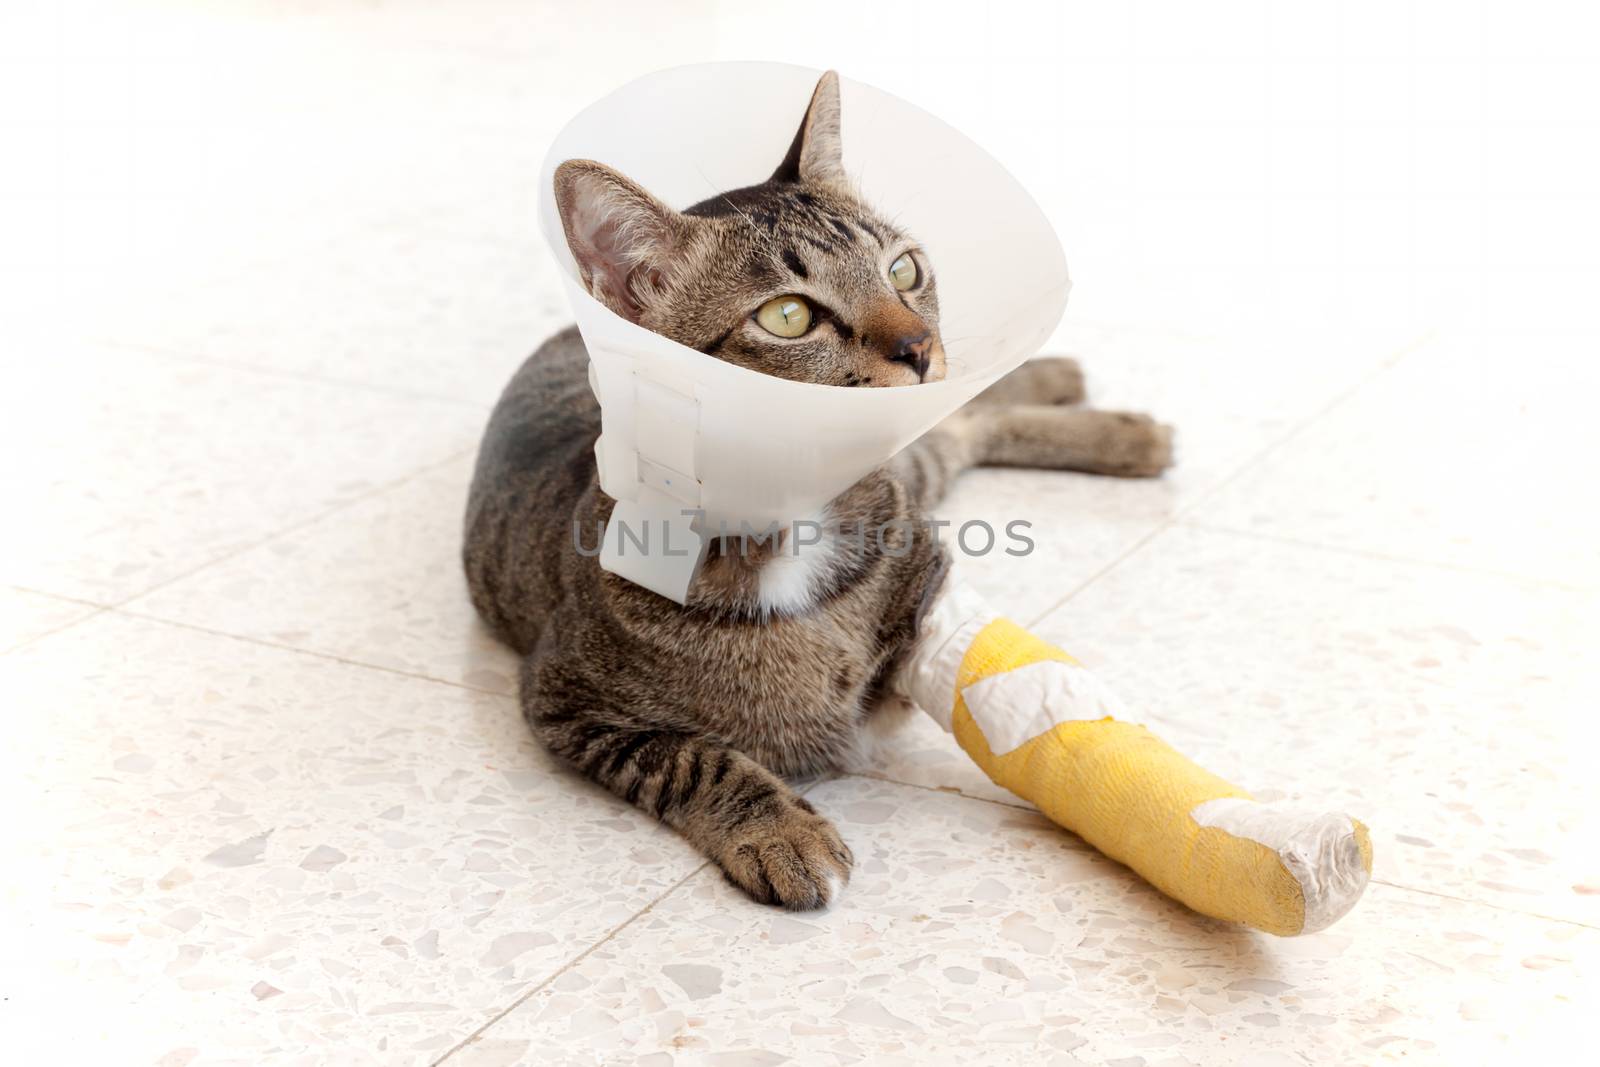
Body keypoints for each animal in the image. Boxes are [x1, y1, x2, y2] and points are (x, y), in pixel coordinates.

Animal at [464, 73, 1177, 908]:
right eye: (788, 315)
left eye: (904, 270)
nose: (921, 347)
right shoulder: (566, 698)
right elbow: (693, 758)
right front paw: (781, 831)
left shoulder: (921, 567)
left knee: (960, 426)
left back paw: (1093, 406)